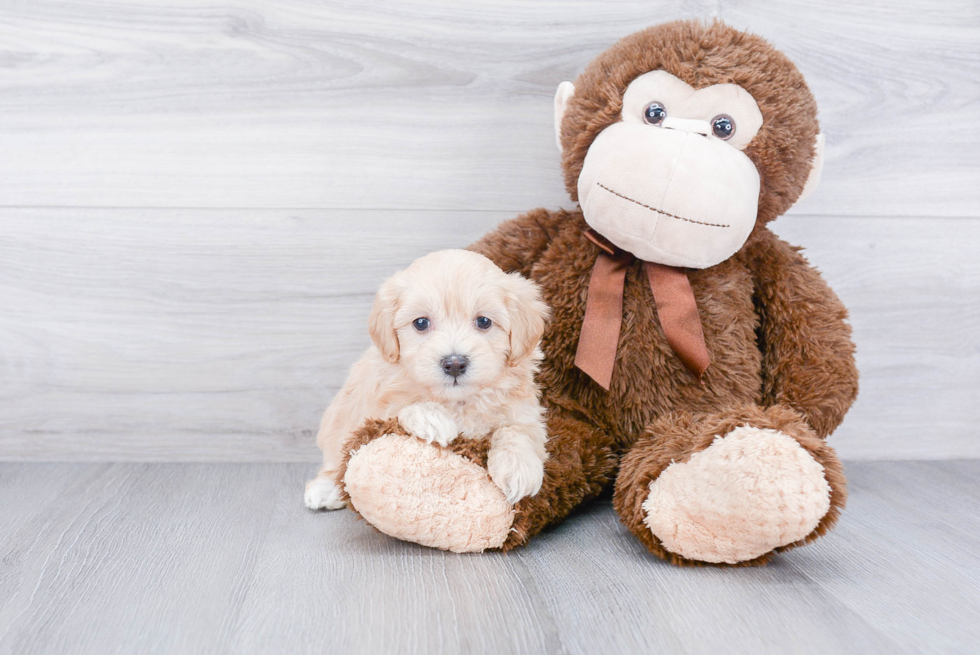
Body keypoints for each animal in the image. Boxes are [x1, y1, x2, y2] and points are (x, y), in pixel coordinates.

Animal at [304, 249, 552, 510]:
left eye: (484, 321)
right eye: (421, 323)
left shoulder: (525, 412)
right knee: (335, 456)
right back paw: (326, 489)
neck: (458, 402)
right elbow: (401, 408)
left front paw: (518, 468)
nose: (454, 364)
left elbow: (518, 431)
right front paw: (431, 417)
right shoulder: (375, 408)